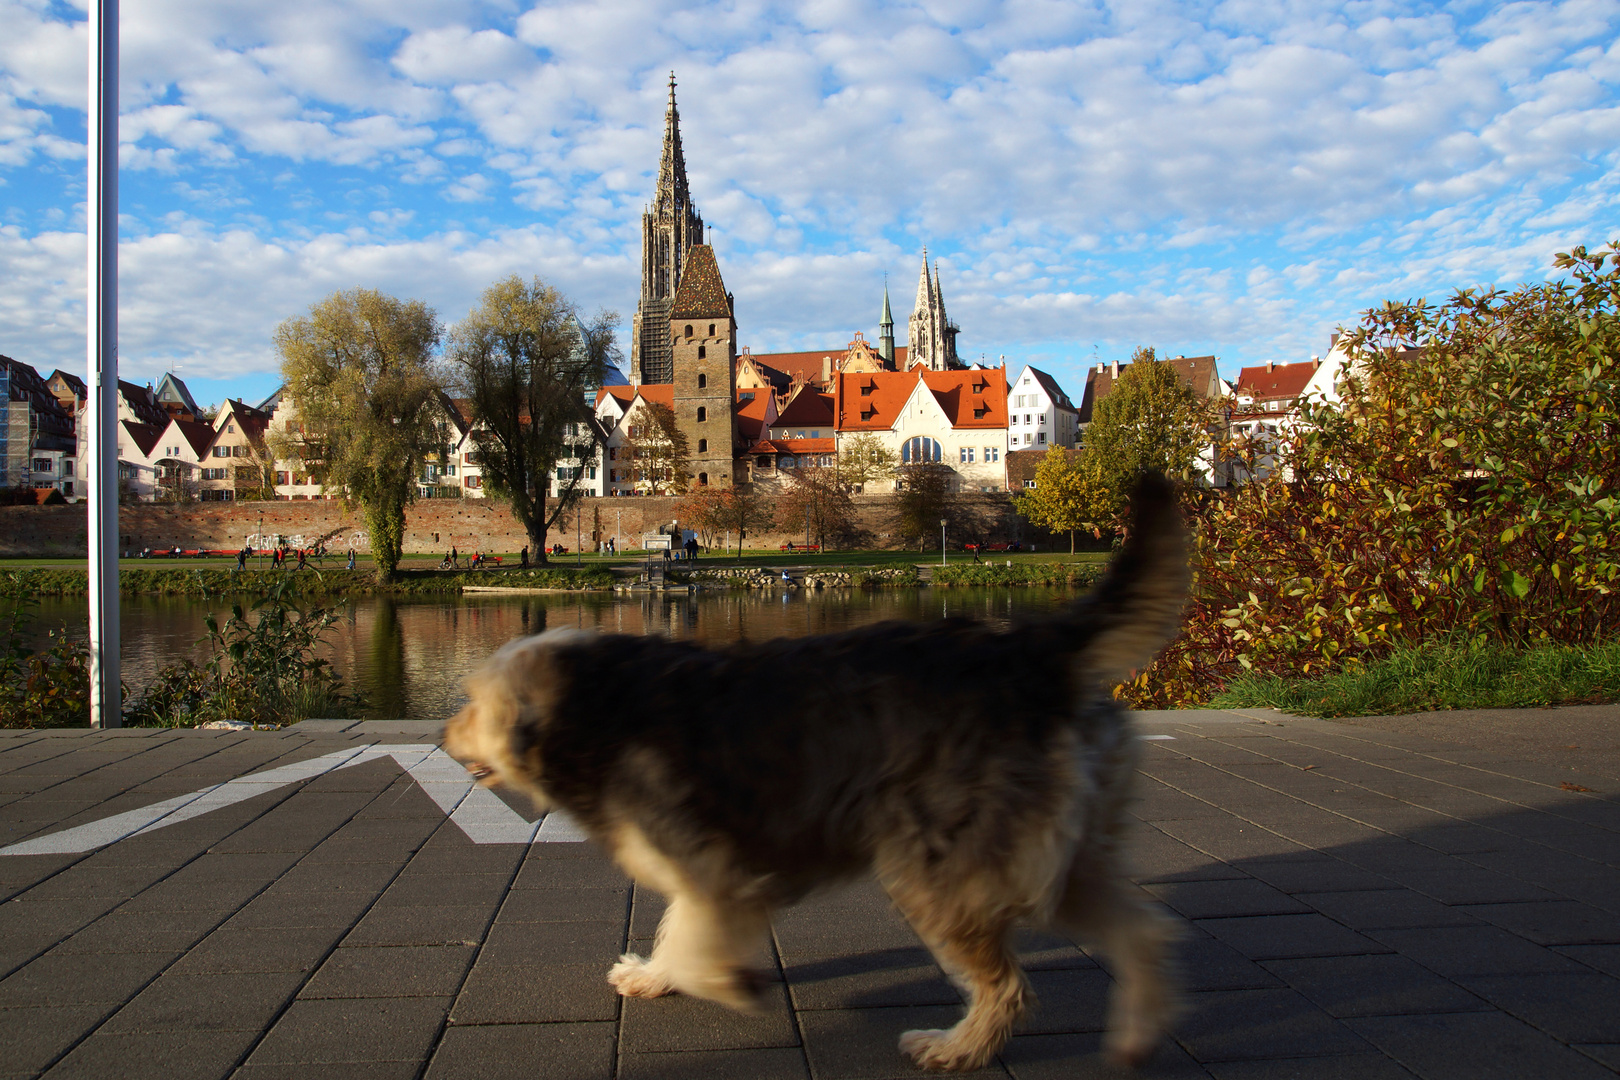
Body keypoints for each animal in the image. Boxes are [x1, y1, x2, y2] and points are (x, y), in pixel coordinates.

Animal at [443, 476, 1192, 1075]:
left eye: (474, 701)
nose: (446, 734)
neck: (599, 703)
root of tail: (1040, 648)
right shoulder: (701, 864)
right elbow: (676, 927)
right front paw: (656, 976)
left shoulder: (715, 869)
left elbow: (695, 934)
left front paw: (724, 981)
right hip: (1061, 860)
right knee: (1144, 932)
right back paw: (1135, 1038)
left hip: (941, 870)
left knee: (1010, 987)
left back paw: (955, 1049)